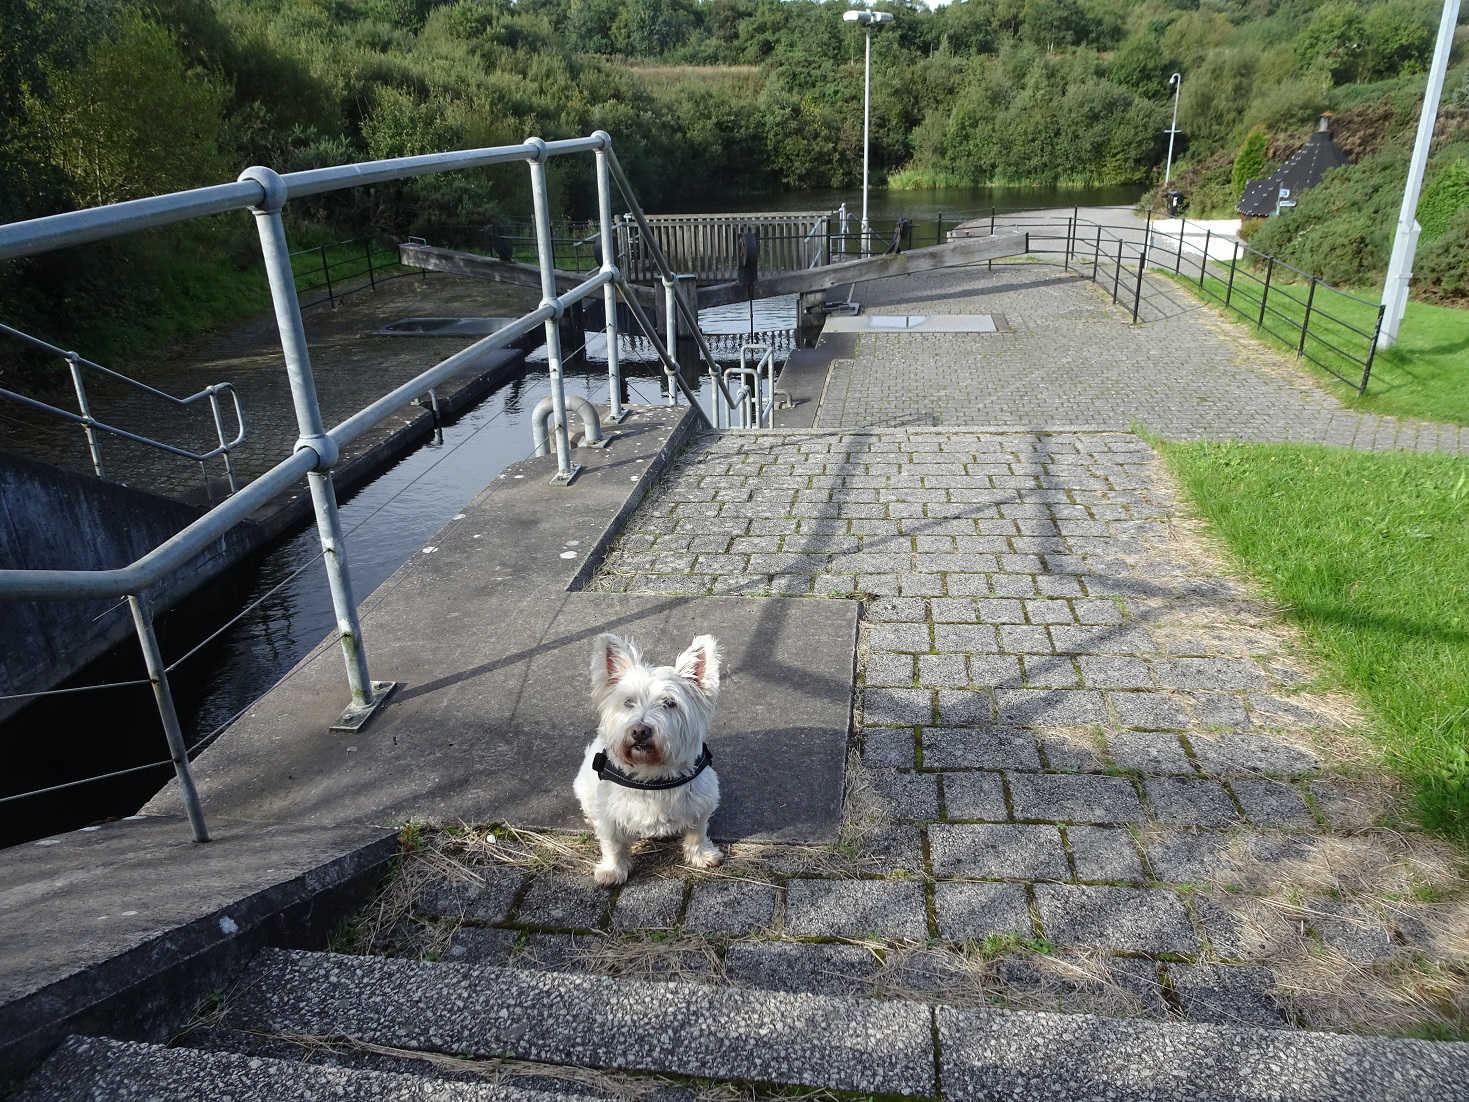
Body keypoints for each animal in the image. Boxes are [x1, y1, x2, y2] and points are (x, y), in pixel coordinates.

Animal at [578, 628, 728, 887]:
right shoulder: (609, 814)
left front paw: (702, 855)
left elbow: (697, 831)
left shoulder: (702, 801)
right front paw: (612, 870)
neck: (652, 775)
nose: (639, 731)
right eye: (628, 702)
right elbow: (612, 843)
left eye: (669, 703)